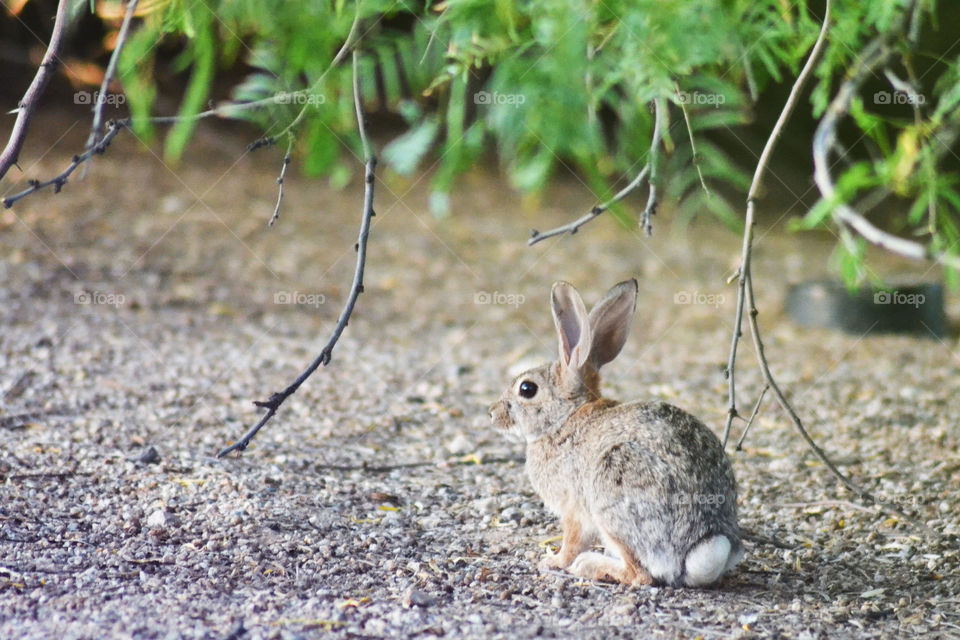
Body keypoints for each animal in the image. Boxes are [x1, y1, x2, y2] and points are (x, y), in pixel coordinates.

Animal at [489, 279, 742, 587]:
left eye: (527, 389)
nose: (492, 414)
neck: (565, 419)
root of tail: (701, 544)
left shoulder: (574, 510)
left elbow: (572, 541)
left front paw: (553, 561)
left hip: (614, 495)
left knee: (640, 574)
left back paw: (590, 565)